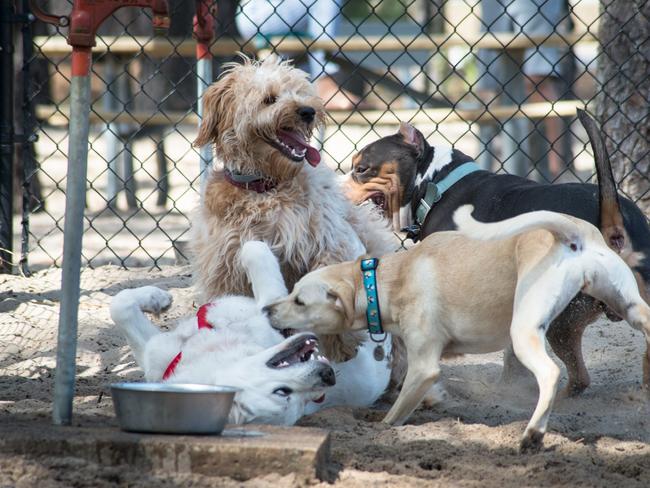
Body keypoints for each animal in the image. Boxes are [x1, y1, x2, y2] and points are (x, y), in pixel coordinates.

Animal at [190, 56, 394, 362]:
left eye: (300, 92)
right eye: (269, 99)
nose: (308, 111)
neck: (265, 188)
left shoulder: (329, 242)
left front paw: (340, 342)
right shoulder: (224, 269)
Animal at [264, 205, 648, 450]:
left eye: (299, 300)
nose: (267, 309)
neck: (383, 280)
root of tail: (571, 233)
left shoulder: (423, 367)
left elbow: (395, 414)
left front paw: (381, 429)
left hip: (525, 330)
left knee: (551, 374)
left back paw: (532, 435)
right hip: (629, 306)